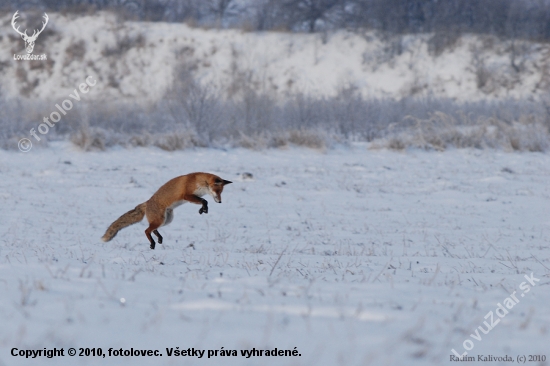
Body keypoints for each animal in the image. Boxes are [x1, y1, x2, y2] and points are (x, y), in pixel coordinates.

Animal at [102, 172, 233, 249]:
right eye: (218, 191)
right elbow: (204, 201)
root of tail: (147, 202)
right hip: (160, 220)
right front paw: (203, 209)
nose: (220, 202)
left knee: (153, 229)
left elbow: (204, 201)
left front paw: (202, 210)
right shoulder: (187, 195)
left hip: (166, 220)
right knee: (146, 230)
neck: (200, 182)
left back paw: (159, 238)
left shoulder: (195, 197)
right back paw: (153, 243)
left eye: (221, 192)